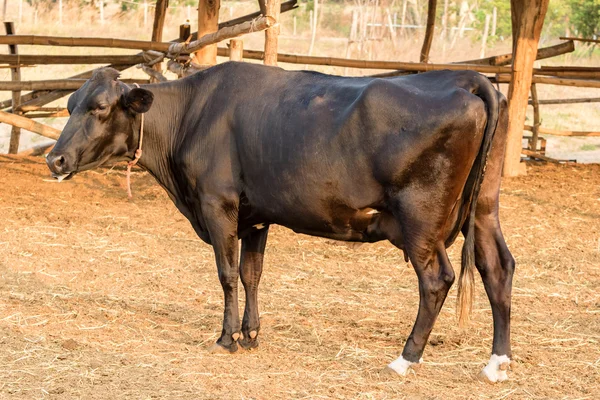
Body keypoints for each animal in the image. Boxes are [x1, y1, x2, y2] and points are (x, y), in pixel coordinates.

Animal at [47, 64, 516, 382]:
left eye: (100, 107)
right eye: (69, 105)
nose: (55, 159)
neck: (191, 115)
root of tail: (466, 79)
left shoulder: (218, 204)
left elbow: (227, 273)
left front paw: (227, 339)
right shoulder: (256, 216)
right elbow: (252, 273)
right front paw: (251, 334)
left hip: (420, 217)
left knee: (437, 279)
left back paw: (405, 359)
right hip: (484, 208)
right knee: (498, 268)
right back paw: (497, 362)